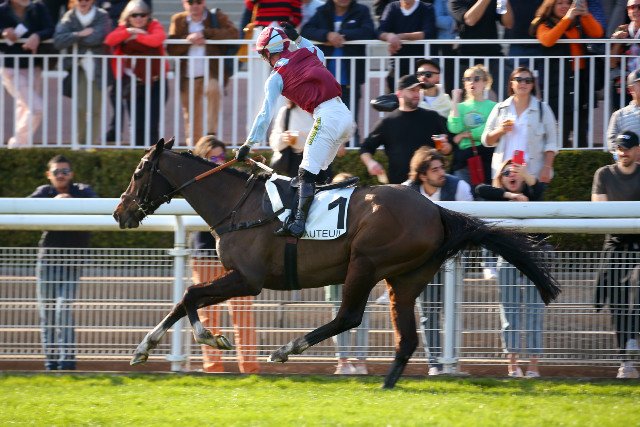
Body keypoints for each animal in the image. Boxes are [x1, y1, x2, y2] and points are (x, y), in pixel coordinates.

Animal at [113, 138, 560, 388]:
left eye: (138, 172)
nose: (120, 213)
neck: (237, 205)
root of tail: (436, 209)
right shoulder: (237, 278)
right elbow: (183, 300)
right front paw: (142, 349)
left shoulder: (247, 279)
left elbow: (190, 295)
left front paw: (212, 338)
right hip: (406, 278)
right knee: (406, 338)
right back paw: (387, 385)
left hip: (366, 262)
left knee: (348, 316)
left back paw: (287, 349)